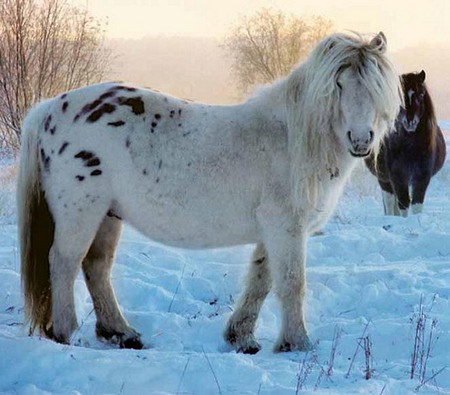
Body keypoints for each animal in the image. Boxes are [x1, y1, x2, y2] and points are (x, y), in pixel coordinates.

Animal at [17, 31, 400, 352]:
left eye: (377, 87)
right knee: (64, 262)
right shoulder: (286, 227)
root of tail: (48, 109)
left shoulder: (273, 231)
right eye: (338, 85)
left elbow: (261, 280)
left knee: (96, 267)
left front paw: (242, 338)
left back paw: (121, 333)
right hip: (80, 213)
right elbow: (292, 283)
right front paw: (297, 344)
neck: (290, 139)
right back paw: (67, 334)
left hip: (108, 215)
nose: (360, 140)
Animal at [366, 71, 446, 217]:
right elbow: (403, 204)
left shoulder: (422, 177)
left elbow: (416, 205)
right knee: (389, 201)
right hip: (384, 180)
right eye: (400, 96)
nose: (410, 121)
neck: (411, 149)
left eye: (421, 94)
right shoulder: (398, 177)